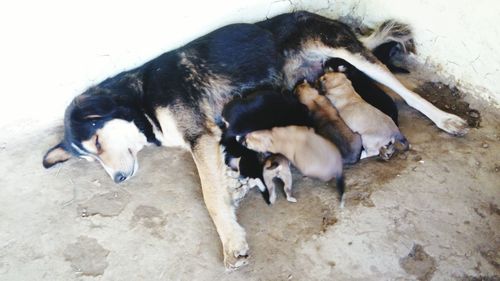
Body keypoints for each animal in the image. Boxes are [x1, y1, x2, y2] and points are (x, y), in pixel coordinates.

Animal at [43, 11, 468, 270]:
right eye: (89, 159)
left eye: (97, 144)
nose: (118, 180)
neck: (140, 99)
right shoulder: (212, 139)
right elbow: (222, 186)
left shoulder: (201, 137)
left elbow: (210, 197)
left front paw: (232, 242)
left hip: (345, 50)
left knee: (406, 91)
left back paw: (446, 119)